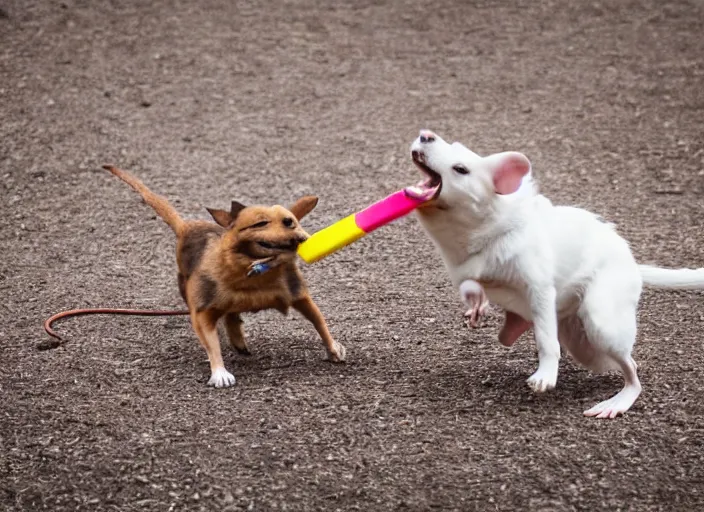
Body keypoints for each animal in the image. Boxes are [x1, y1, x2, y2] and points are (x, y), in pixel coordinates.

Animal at [103, 166, 346, 386]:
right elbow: (211, 343)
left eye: (291, 221)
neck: (254, 274)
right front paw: (219, 372)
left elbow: (319, 320)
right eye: (260, 223)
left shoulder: (298, 295)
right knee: (228, 315)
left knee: (232, 314)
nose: (294, 229)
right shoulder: (202, 311)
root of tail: (187, 226)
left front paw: (333, 347)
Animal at [408, 127, 704, 416]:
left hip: (601, 322)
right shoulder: (464, 271)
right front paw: (477, 306)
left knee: (631, 369)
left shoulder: (538, 287)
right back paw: (513, 325)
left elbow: (546, 339)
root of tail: (633, 264)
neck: (481, 231)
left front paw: (545, 376)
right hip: (585, 346)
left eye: (461, 168)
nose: (425, 135)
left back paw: (617, 402)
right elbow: (470, 285)